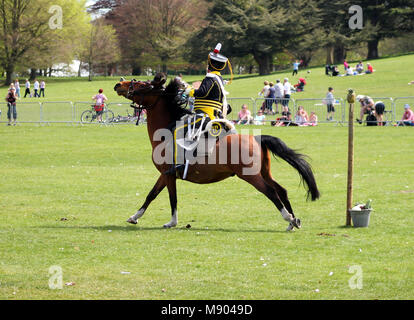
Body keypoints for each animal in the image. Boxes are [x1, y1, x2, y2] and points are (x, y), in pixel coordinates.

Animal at [114, 74, 320, 231]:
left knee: (271, 192)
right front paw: (135, 216)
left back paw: (288, 218)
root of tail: (256, 138)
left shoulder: (168, 174)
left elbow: (171, 198)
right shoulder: (165, 174)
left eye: (143, 85)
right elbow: (152, 194)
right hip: (264, 172)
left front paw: (172, 222)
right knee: (281, 190)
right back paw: (293, 221)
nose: (119, 84)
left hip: (250, 175)